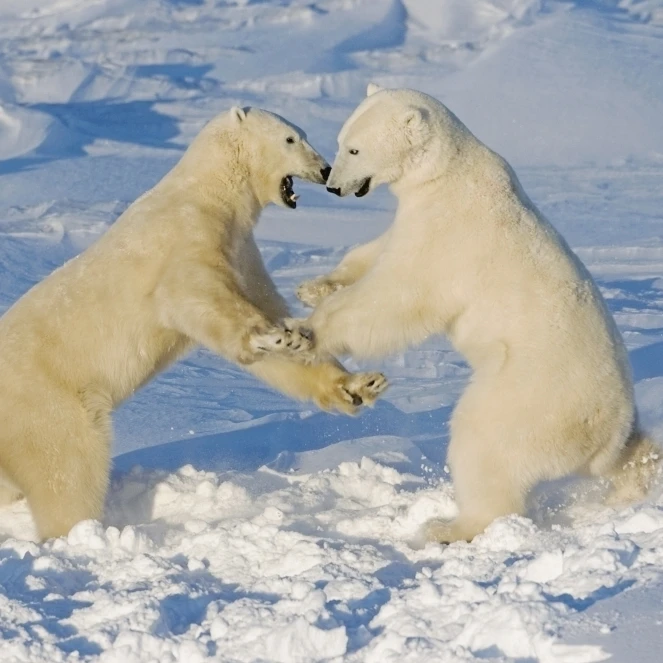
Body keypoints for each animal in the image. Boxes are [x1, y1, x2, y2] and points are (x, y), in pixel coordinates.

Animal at [0, 106, 387, 541]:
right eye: (291, 138)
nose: (324, 170)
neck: (208, 192)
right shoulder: (187, 236)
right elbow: (196, 295)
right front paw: (270, 337)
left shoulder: (242, 252)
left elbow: (271, 316)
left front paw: (357, 384)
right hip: (47, 402)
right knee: (67, 467)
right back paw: (81, 532)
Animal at [296, 84, 660, 544]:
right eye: (342, 140)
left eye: (355, 149)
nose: (332, 186)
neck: (449, 174)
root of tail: (608, 427)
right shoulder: (417, 218)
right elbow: (377, 252)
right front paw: (313, 287)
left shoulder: (449, 234)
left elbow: (397, 296)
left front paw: (307, 331)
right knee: (627, 455)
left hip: (527, 397)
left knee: (484, 445)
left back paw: (449, 527)